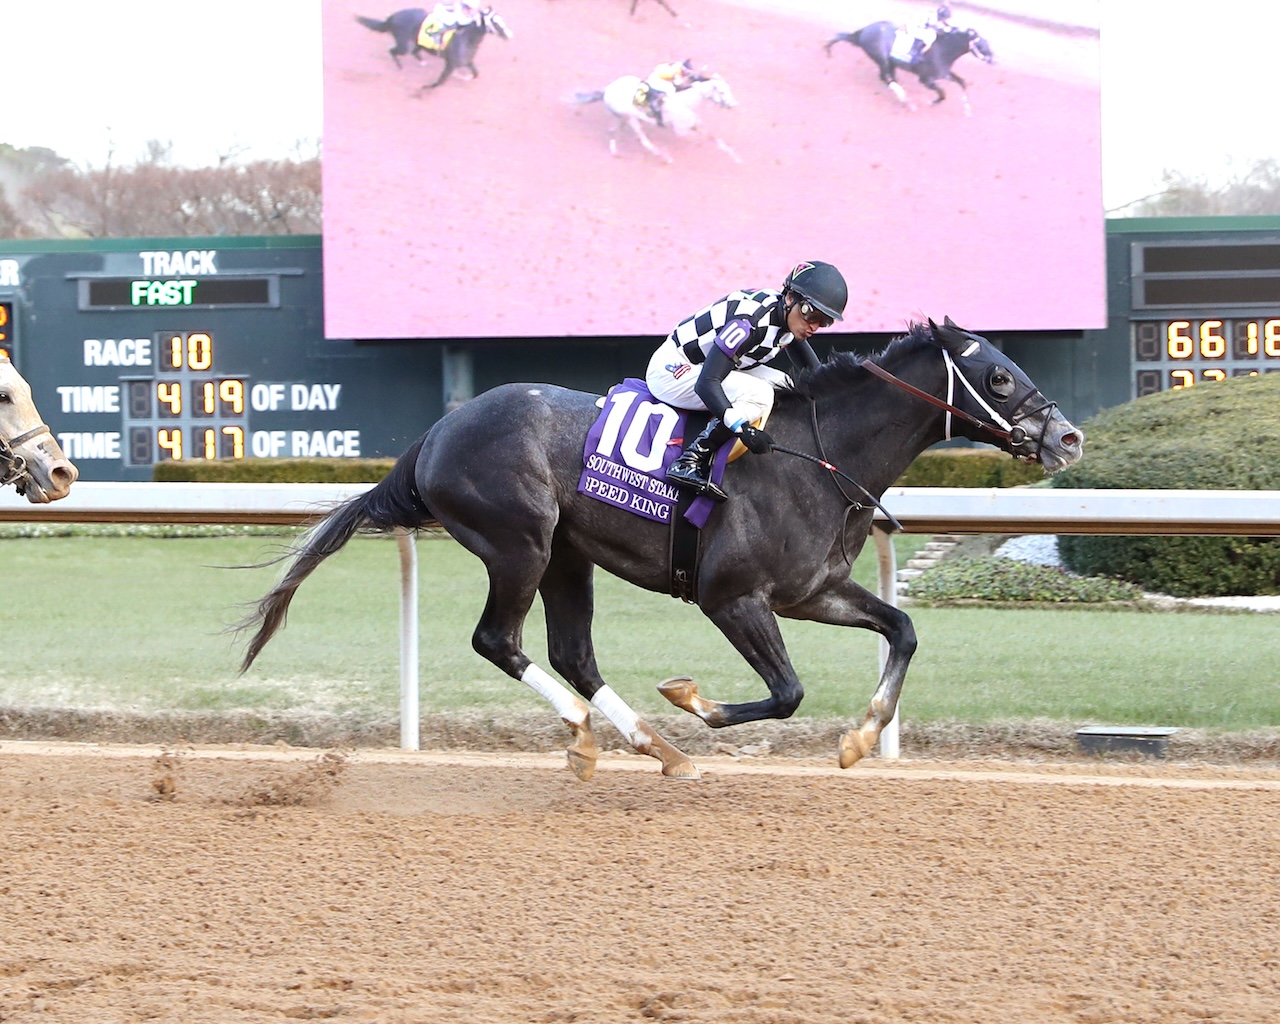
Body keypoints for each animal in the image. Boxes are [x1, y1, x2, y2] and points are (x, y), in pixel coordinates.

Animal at [238, 322, 1080, 783]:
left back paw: (654, 748)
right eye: (999, 376)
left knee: (572, 653)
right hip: (519, 543)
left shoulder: (811, 592)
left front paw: (862, 737)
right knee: (497, 640)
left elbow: (902, 630)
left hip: (566, 556)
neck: (818, 454)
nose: (1069, 438)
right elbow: (786, 692)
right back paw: (597, 733)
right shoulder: (732, 597)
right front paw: (693, 700)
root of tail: (434, 435)